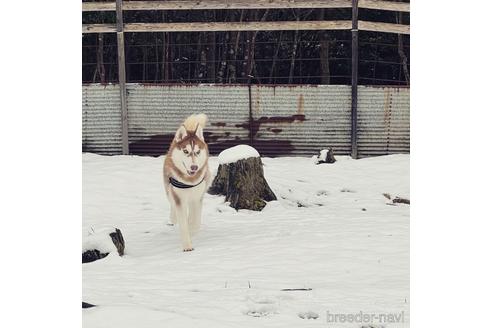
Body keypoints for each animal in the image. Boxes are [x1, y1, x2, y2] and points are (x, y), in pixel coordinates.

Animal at [164, 114, 210, 252]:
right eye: (185, 151)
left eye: (198, 152)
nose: (194, 167)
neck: (189, 181)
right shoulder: (179, 198)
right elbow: (183, 223)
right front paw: (187, 245)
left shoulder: (197, 198)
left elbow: (195, 223)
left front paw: (192, 230)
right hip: (169, 189)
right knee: (172, 205)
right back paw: (173, 219)